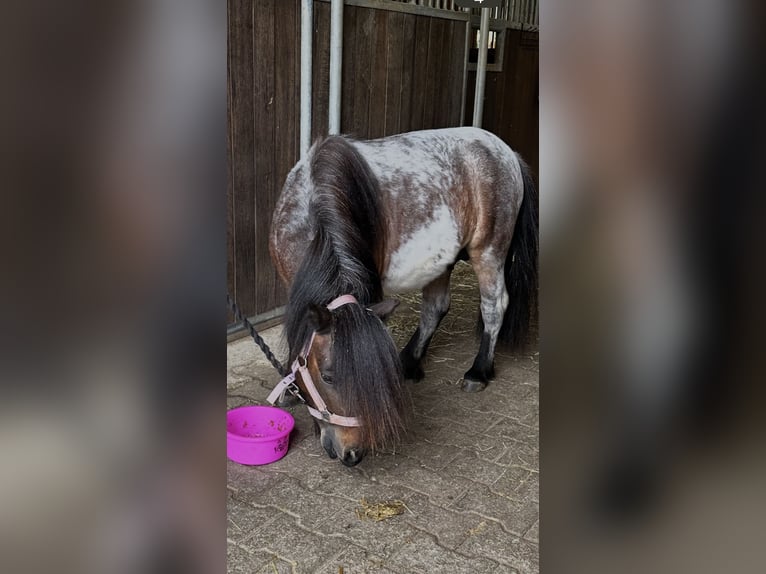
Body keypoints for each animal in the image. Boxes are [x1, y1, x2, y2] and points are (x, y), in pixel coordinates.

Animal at [269, 127, 538, 466]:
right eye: (328, 377)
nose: (351, 453)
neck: (312, 206)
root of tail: (507, 153)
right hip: (443, 262)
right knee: (435, 308)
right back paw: (409, 362)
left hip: (489, 252)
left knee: (494, 306)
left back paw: (478, 372)